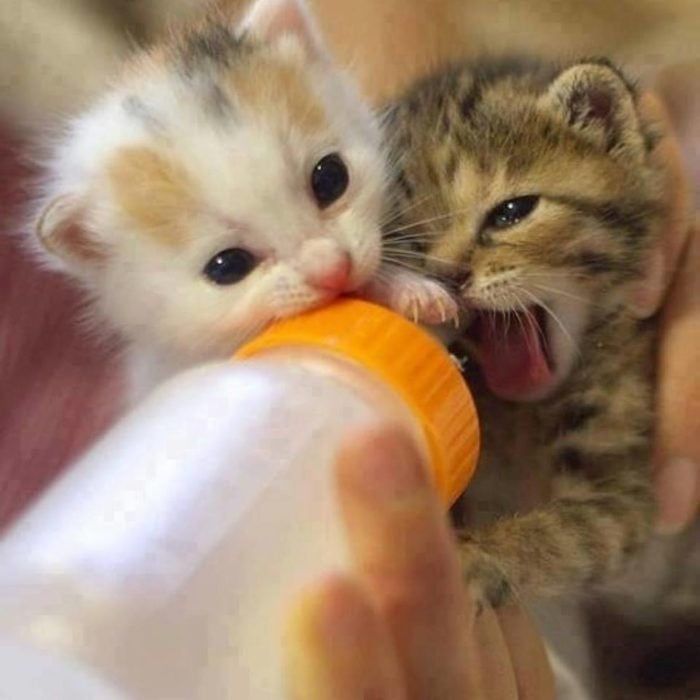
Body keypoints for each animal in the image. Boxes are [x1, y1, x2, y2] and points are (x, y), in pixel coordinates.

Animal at [382, 58, 668, 608]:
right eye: (409, 242)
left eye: (511, 212)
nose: (447, 276)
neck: (523, 415)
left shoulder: (624, 499)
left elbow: (566, 534)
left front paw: (478, 557)